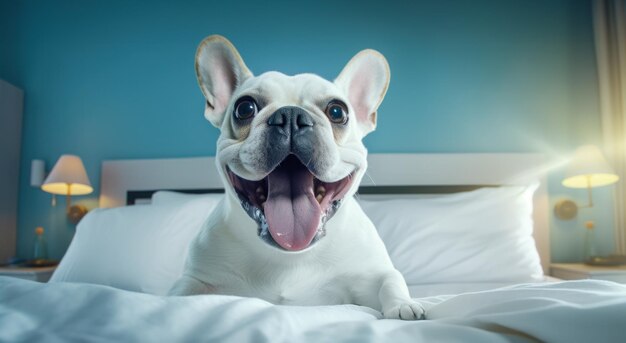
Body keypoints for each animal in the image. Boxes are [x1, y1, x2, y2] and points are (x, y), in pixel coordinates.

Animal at [169, 34, 424, 320]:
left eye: (337, 112)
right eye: (244, 108)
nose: (290, 114)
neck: (290, 255)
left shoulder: (370, 275)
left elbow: (390, 280)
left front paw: (403, 305)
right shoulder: (197, 278)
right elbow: (177, 293)